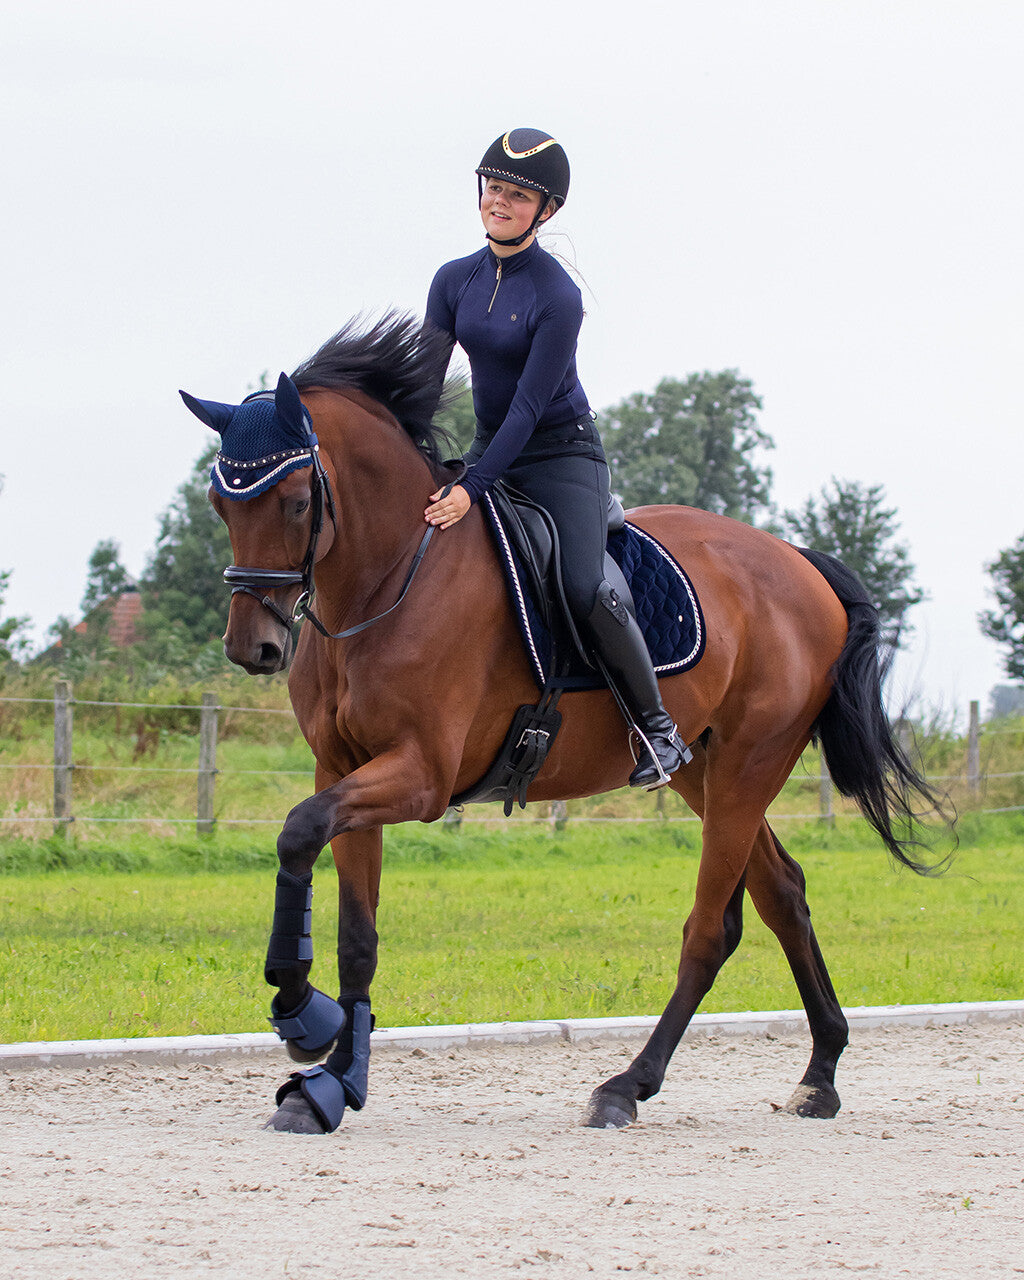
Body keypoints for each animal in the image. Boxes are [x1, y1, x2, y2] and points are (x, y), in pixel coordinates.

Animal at [182, 313, 945, 1135]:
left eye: (296, 501)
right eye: (221, 505)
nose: (252, 647)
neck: (385, 580)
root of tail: (800, 563)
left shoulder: (420, 776)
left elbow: (298, 830)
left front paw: (300, 1013)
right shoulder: (344, 768)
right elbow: (356, 932)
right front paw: (334, 1081)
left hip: (748, 766)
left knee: (712, 930)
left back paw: (627, 1085)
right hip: (707, 772)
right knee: (784, 895)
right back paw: (820, 1075)